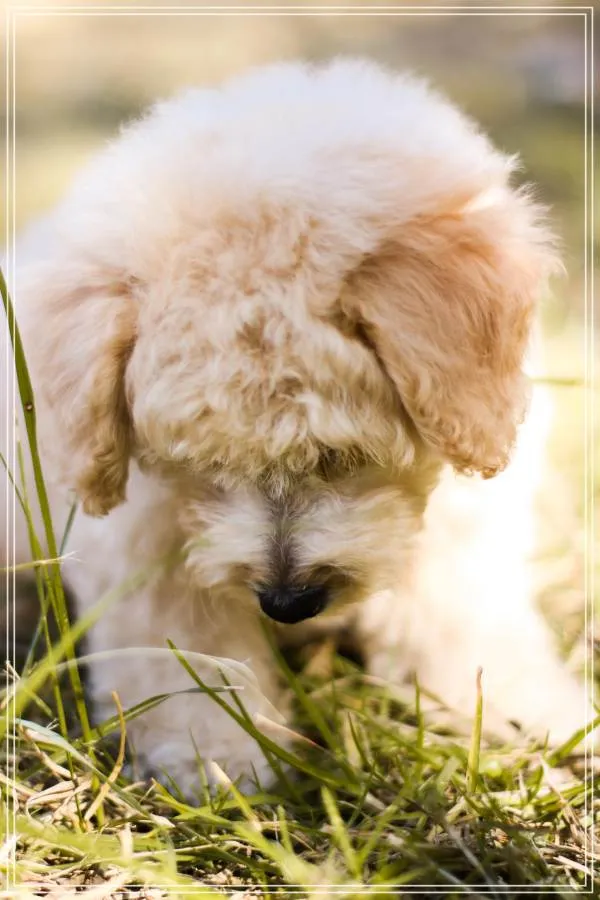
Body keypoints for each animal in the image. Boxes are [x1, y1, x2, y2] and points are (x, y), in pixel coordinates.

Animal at [2, 59, 593, 794]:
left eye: (341, 457)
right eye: (200, 467)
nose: (288, 602)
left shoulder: (464, 527)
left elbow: (461, 618)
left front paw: (515, 710)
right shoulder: (146, 552)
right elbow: (188, 652)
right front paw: (219, 759)